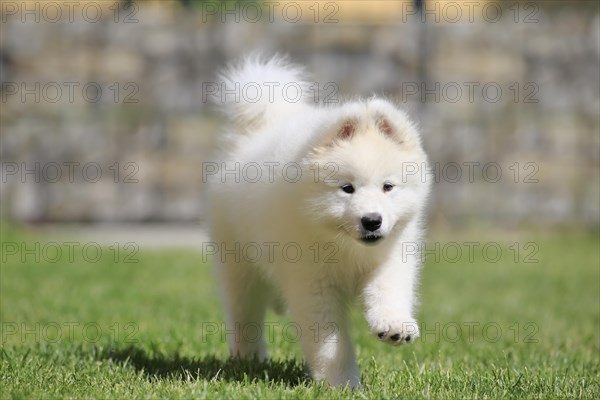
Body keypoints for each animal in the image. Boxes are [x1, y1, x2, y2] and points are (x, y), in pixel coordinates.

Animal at [206, 56, 432, 388]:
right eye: (347, 188)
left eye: (388, 187)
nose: (372, 221)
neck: (343, 245)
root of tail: (256, 130)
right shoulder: (311, 281)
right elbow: (328, 340)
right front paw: (342, 383)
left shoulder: (390, 256)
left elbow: (387, 289)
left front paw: (394, 325)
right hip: (239, 263)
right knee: (244, 312)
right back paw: (248, 357)